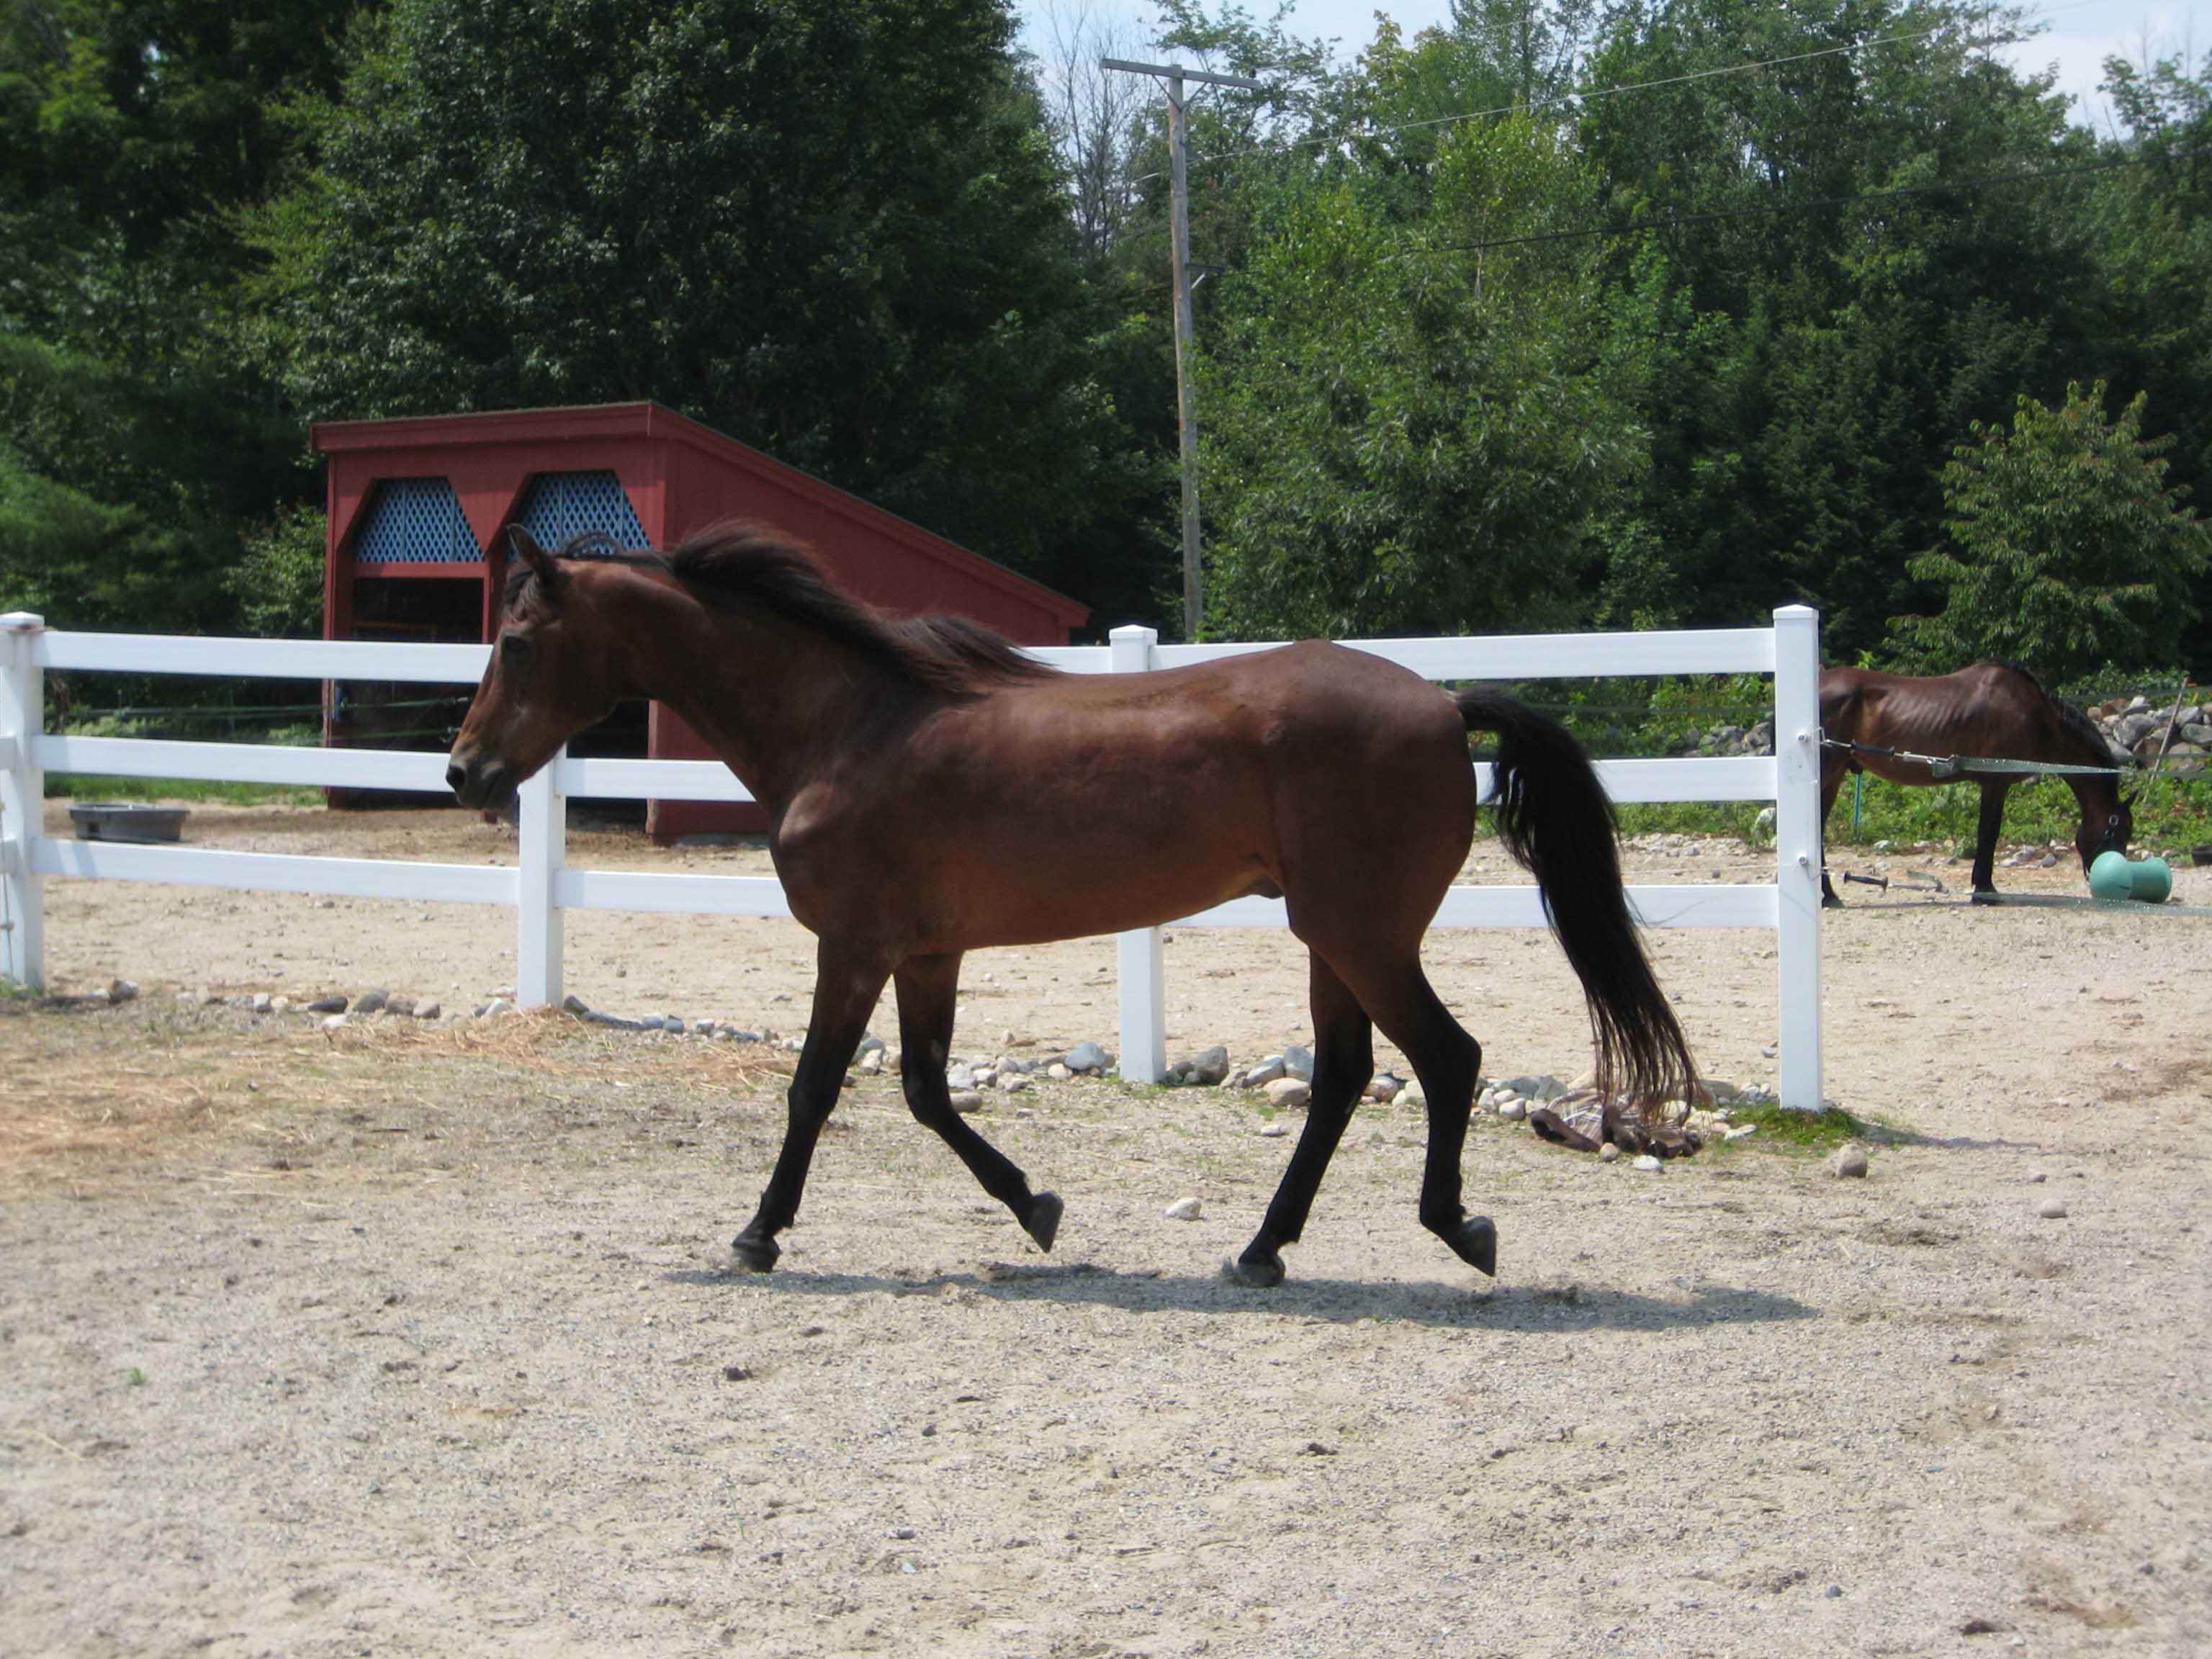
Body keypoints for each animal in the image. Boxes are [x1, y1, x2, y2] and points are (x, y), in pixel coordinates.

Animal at [444, 526, 1690, 1292]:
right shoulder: (926, 953)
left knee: (1447, 1057)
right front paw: (1035, 1205)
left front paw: (758, 1235)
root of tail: (1443, 702)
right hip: (1331, 938)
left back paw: (1456, 1228)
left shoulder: (853, 947)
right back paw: (1261, 1251)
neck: (844, 725)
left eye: (517, 641)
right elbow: (925, 1092)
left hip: (1362, 935)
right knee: (1345, 1077)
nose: (463, 771)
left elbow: (812, 1092)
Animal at [1822, 663, 2132, 902]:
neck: (2035, 715)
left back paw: (1830, 896)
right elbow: (1988, 833)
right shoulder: (1995, 783)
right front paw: (1985, 890)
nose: (2103, 877)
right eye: (2116, 833)